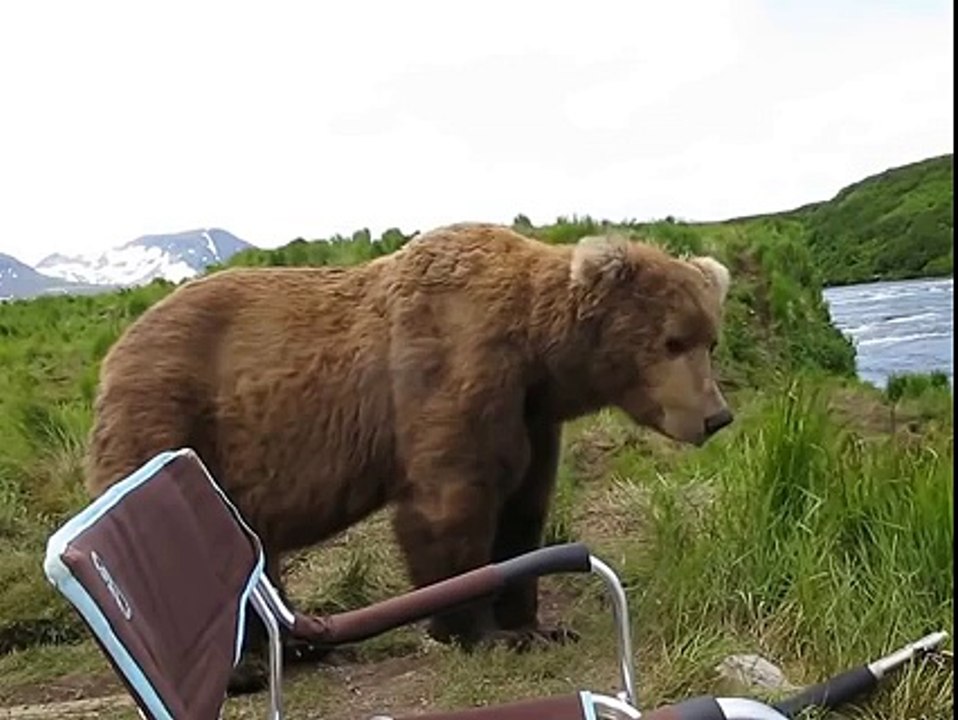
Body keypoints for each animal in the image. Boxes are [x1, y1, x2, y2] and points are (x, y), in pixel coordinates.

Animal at [84, 222, 734, 690]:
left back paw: (297, 643)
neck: (537, 352)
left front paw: (535, 625)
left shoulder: (532, 415)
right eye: (672, 340)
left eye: (709, 337)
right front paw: (476, 631)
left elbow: (523, 511)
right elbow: (452, 505)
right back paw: (245, 667)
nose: (715, 415)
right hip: (171, 419)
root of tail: (116, 348)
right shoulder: (450, 372)